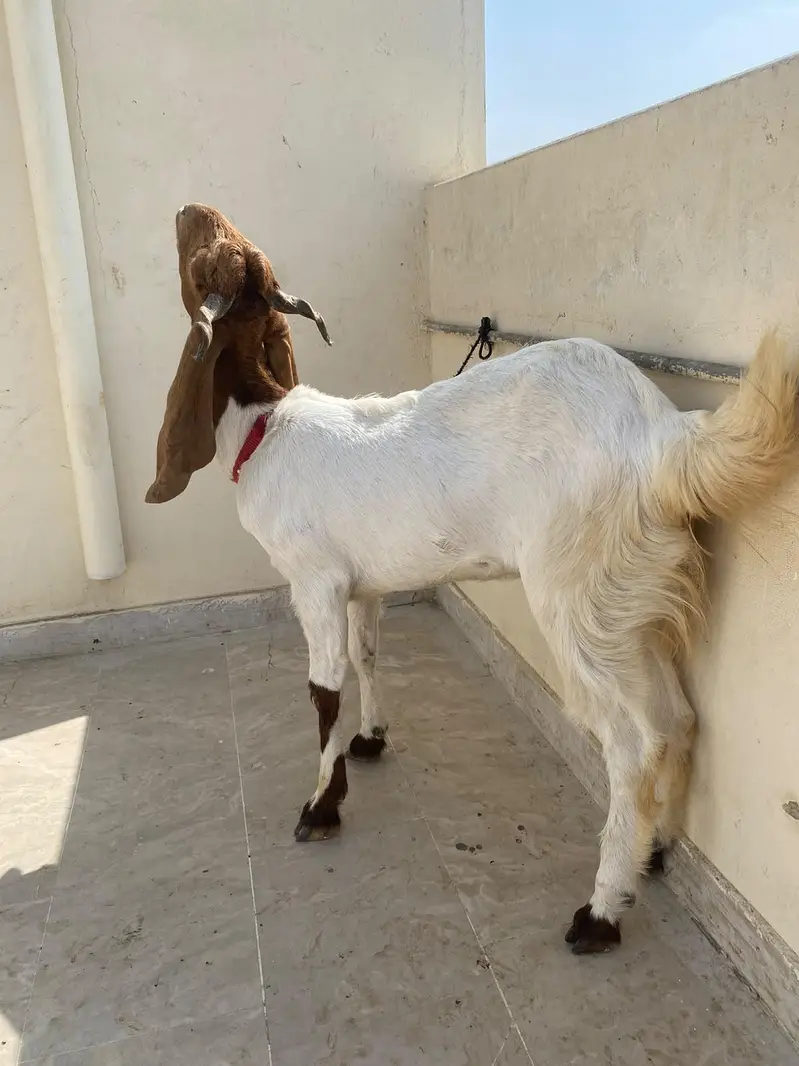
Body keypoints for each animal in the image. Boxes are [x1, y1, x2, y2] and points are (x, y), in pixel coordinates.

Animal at [147, 203, 798, 954]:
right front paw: (371, 740)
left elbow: (323, 691)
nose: (186, 210)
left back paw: (602, 908)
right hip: (629, 596)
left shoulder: (313, 581)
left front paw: (320, 807)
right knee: (680, 716)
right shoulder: (362, 585)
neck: (263, 425)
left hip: (575, 589)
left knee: (634, 738)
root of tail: (661, 437)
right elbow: (367, 657)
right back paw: (654, 850)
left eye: (203, 258)